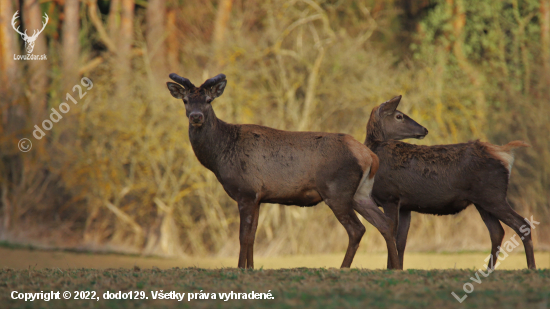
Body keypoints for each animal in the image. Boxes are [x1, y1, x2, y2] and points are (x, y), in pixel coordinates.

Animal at [166, 73, 404, 268]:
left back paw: (343, 268)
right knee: (385, 223)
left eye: (208, 100)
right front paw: (251, 268)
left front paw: (241, 268)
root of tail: (370, 156)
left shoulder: (246, 191)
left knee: (357, 229)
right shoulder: (258, 197)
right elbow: (253, 235)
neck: (220, 156)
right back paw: (394, 268)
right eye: (186, 101)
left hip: (337, 191)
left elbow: (243, 236)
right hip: (360, 193)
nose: (196, 116)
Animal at [364, 95, 536, 268]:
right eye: (399, 116)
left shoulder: (389, 196)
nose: (424, 129)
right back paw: (489, 268)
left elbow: (391, 234)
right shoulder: (405, 205)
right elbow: (401, 241)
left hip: (493, 195)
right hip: (482, 201)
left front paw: (391, 268)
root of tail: (504, 153)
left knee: (522, 224)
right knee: (497, 232)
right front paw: (398, 268)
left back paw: (531, 267)